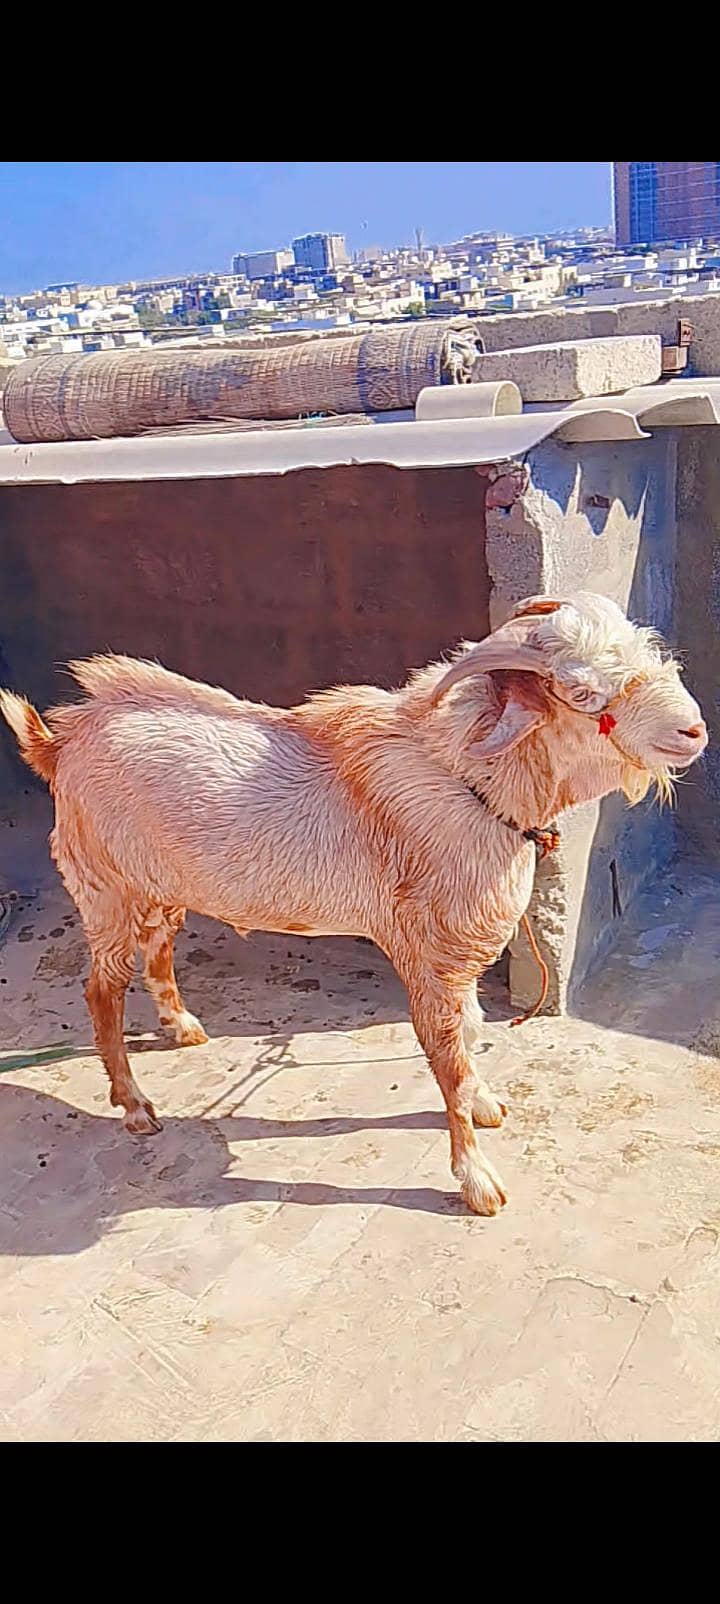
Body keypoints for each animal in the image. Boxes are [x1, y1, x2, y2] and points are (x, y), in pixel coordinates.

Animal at [0, 592, 708, 1215]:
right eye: (582, 691)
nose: (694, 729)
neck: (470, 783)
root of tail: (60, 743)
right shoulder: (428, 956)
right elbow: (449, 1059)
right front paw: (477, 1182)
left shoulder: (453, 961)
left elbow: (473, 1034)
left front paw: (485, 1105)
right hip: (105, 889)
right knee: (100, 991)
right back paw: (136, 1105)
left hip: (160, 888)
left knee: (158, 950)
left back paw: (182, 1027)